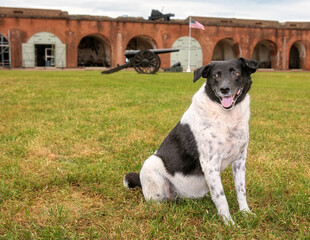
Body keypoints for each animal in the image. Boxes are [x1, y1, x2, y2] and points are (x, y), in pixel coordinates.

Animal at [124, 57, 260, 225]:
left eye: (236, 73)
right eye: (215, 75)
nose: (224, 89)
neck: (227, 115)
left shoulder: (240, 160)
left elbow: (241, 190)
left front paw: (245, 213)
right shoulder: (210, 163)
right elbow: (221, 197)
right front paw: (229, 223)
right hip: (152, 166)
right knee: (156, 201)